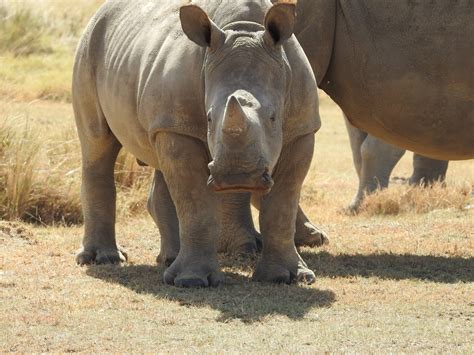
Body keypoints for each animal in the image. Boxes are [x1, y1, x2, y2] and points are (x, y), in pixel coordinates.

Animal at [73, 0, 318, 288]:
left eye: (273, 117)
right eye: (209, 117)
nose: (238, 177)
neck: (244, 31)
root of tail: (99, 12)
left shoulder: (302, 129)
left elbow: (282, 205)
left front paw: (291, 277)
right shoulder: (181, 127)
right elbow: (196, 203)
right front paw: (191, 280)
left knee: (160, 161)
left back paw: (169, 259)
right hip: (89, 47)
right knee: (98, 146)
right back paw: (104, 259)